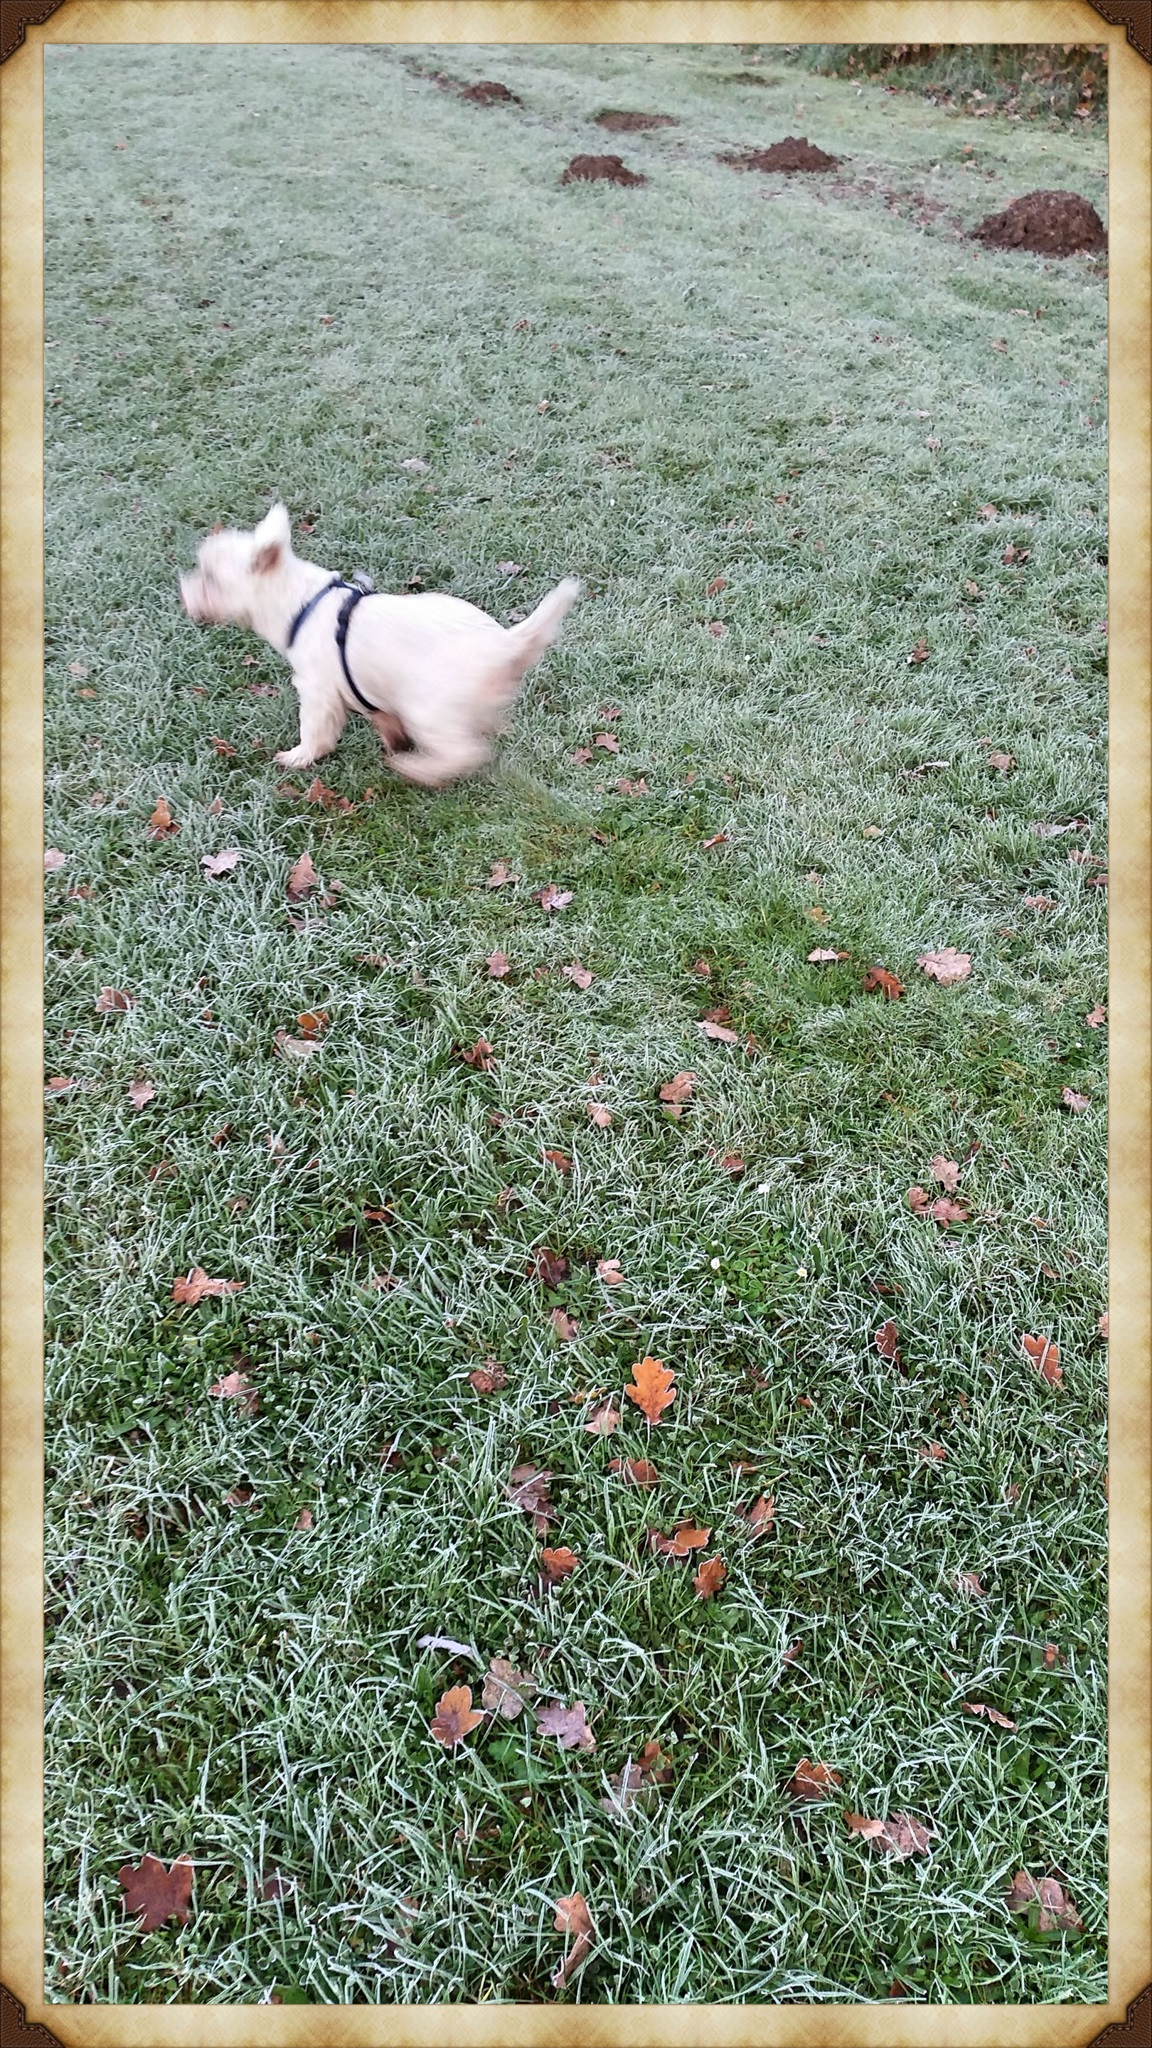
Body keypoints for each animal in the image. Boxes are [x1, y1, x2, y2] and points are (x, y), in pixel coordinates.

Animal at [180, 504, 580, 786]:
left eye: (210, 577)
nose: (183, 591)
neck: (301, 603)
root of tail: (505, 644)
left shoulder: (316, 691)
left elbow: (315, 732)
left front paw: (297, 757)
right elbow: (384, 719)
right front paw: (393, 739)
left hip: (430, 708)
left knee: (465, 752)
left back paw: (417, 770)